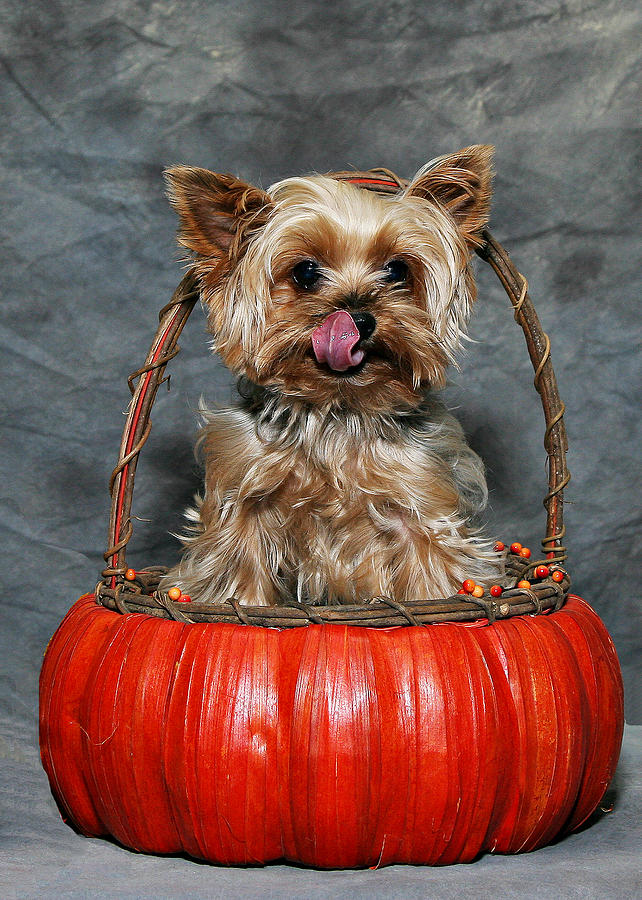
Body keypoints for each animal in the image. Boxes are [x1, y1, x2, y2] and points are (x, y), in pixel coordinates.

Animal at [159, 144, 496, 604]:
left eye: (397, 270)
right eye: (304, 272)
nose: (358, 319)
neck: (337, 409)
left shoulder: (420, 504)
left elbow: (432, 579)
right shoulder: (243, 502)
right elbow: (240, 579)